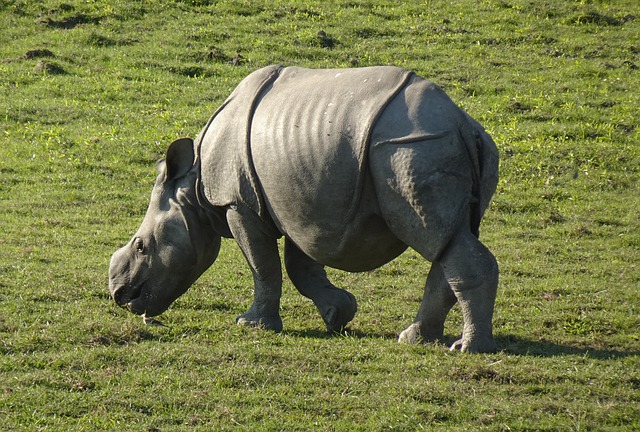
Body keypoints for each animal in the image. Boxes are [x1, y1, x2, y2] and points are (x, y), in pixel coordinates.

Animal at [110, 65, 500, 354]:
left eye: (141, 246)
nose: (119, 296)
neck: (193, 188)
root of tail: (464, 125)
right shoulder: (302, 206)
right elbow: (301, 266)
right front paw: (338, 314)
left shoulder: (240, 204)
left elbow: (263, 265)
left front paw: (252, 325)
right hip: (441, 148)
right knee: (450, 241)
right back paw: (416, 339)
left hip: (413, 148)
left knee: (438, 238)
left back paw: (467, 348)